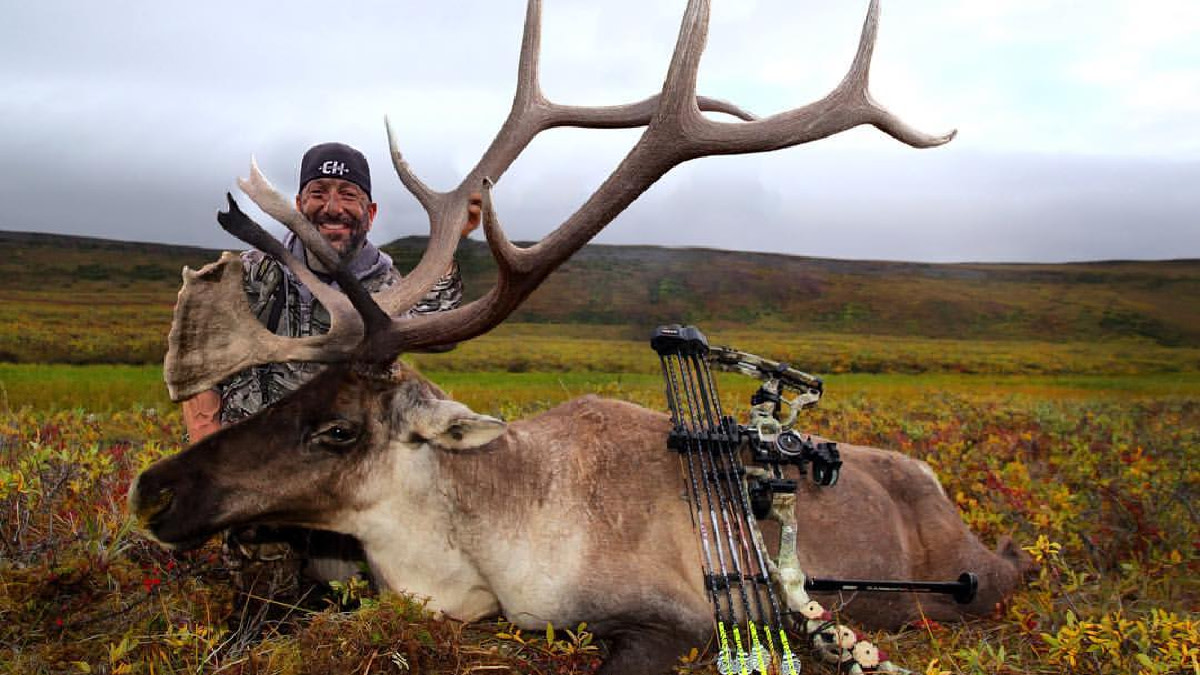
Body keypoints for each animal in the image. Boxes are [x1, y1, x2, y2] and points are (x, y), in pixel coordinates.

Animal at [129, 2, 1032, 673]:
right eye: (296, 392)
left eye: (339, 428)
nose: (152, 489)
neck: (482, 548)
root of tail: (949, 495)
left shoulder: (672, 618)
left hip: (970, 580)